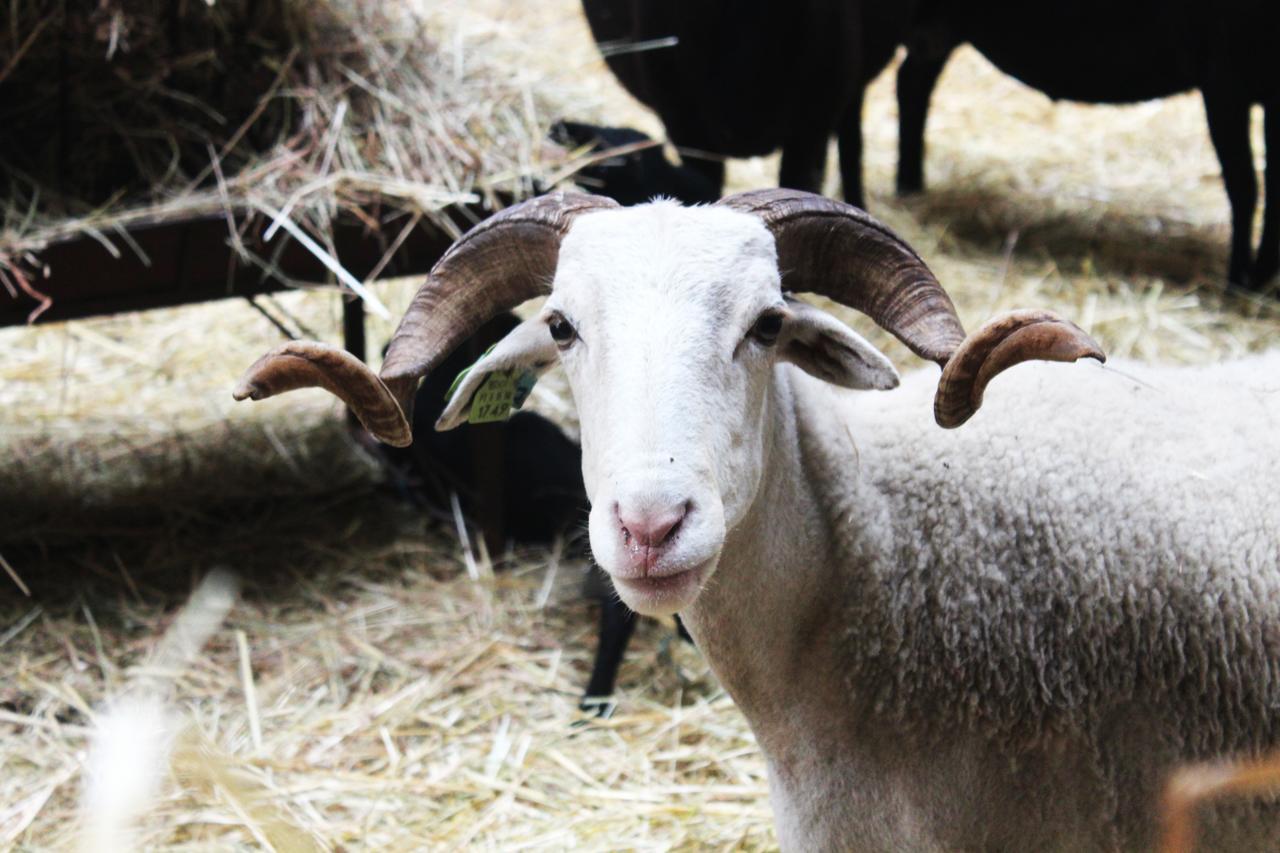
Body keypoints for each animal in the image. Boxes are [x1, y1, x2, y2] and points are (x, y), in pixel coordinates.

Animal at [896, 0, 1274, 289]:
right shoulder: (1224, 74)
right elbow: (1244, 185)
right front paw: (1241, 281)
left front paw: (1260, 281)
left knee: (913, 79)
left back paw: (911, 187)